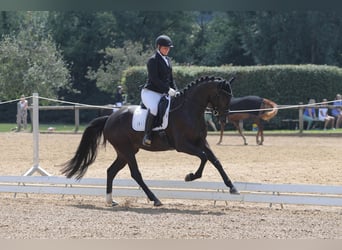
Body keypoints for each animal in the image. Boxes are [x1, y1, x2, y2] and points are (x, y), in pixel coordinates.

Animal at [61, 76, 239, 207]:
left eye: (230, 96)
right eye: (222, 96)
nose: (224, 119)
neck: (189, 110)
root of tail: (110, 118)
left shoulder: (201, 142)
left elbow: (215, 160)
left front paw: (232, 187)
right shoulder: (182, 145)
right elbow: (204, 157)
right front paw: (190, 176)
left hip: (125, 152)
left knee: (111, 171)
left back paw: (110, 200)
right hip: (126, 150)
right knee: (135, 173)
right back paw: (155, 199)